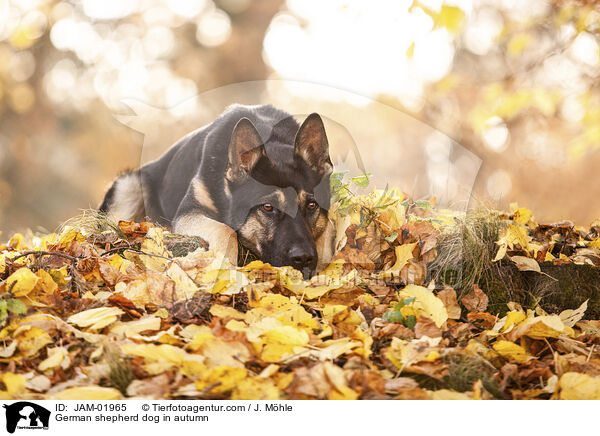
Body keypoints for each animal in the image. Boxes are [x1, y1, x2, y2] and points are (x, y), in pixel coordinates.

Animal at [97, 104, 332, 278]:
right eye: (267, 207)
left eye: (312, 205)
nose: (303, 258)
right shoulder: (188, 213)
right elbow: (225, 230)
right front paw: (227, 267)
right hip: (128, 185)